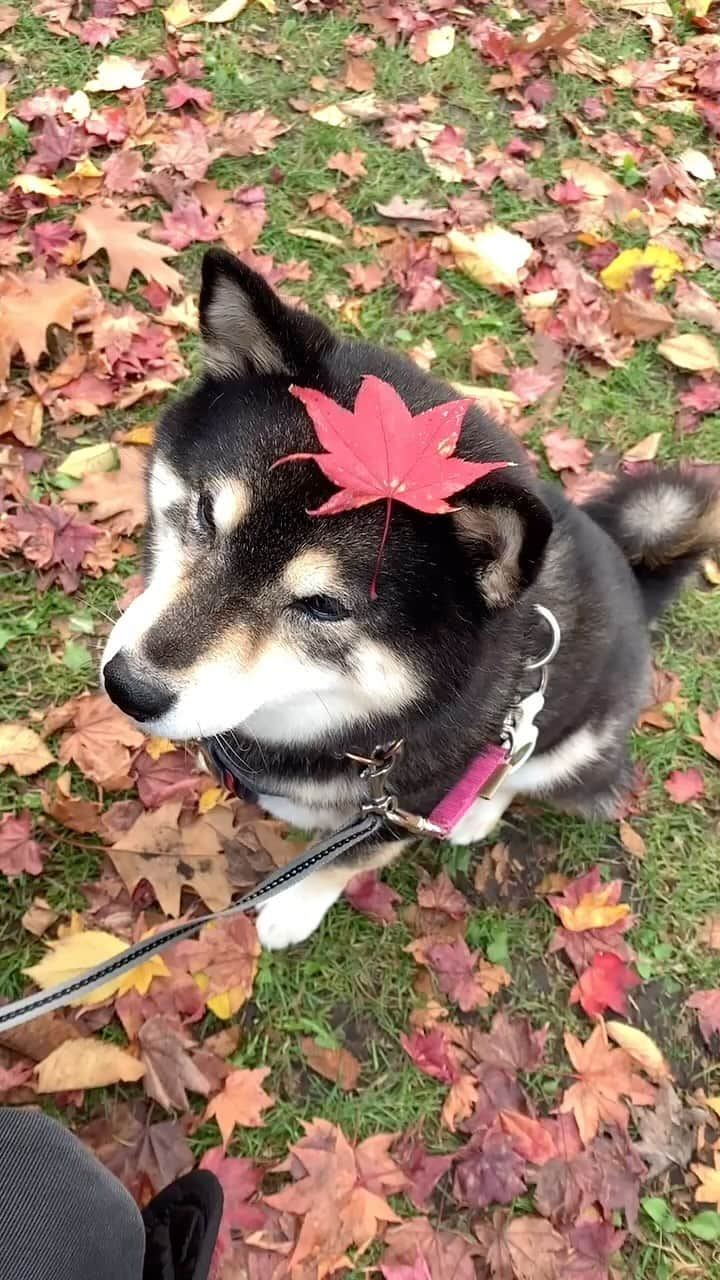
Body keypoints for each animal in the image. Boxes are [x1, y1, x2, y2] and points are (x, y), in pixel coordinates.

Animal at [102, 249, 717, 952]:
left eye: (324, 607)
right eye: (206, 514)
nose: (128, 687)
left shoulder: (400, 811)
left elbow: (342, 862)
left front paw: (295, 907)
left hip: (579, 743)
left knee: (526, 768)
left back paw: (480, 810)